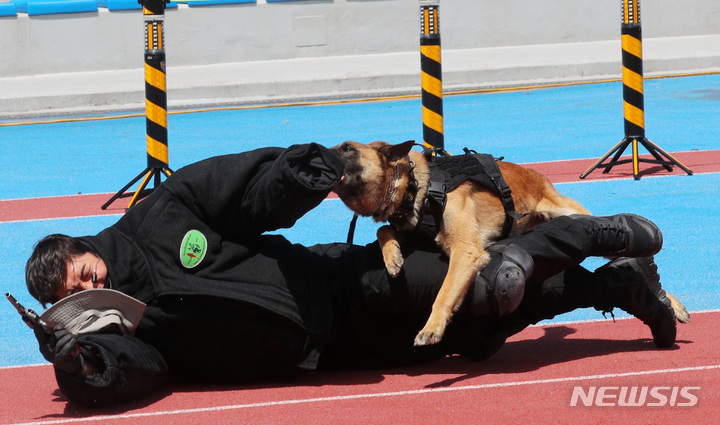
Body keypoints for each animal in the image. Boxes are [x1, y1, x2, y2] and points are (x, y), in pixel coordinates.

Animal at [332, 139, 596, 344]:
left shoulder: (465, 251)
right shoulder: (417, 231)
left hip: (566, 210)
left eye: (347, 148)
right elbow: (384, 230)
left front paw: (432, 327)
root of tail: (536, 175)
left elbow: (444, 293)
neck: (416, 187)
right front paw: (392, 257)